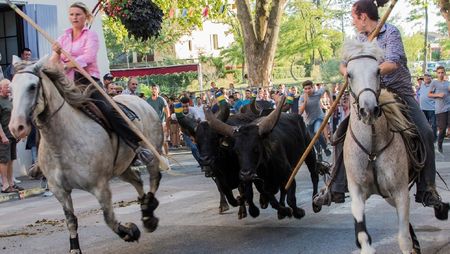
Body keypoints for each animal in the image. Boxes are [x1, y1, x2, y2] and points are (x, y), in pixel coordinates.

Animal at [8, 56, 164, 253]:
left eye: (32, 86)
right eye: (11, 89)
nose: (17, 127)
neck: (61, 143)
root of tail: (141, 101)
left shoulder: (100, 186)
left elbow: (108, 218)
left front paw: (130, 232)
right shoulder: (59, 190)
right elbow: (71, 221)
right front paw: (75, 248)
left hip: (152, 154)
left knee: (154, 178)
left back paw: (149, 214)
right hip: (121, 168)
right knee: (137, 180)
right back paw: (145, 210)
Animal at [342, 39, 420, 254]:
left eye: (378, 71)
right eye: (349, 74)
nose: (368, 110)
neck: (372, 148)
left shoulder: (400, 191)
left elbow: (403, 238)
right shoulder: (356, 191)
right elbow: (363, 236)